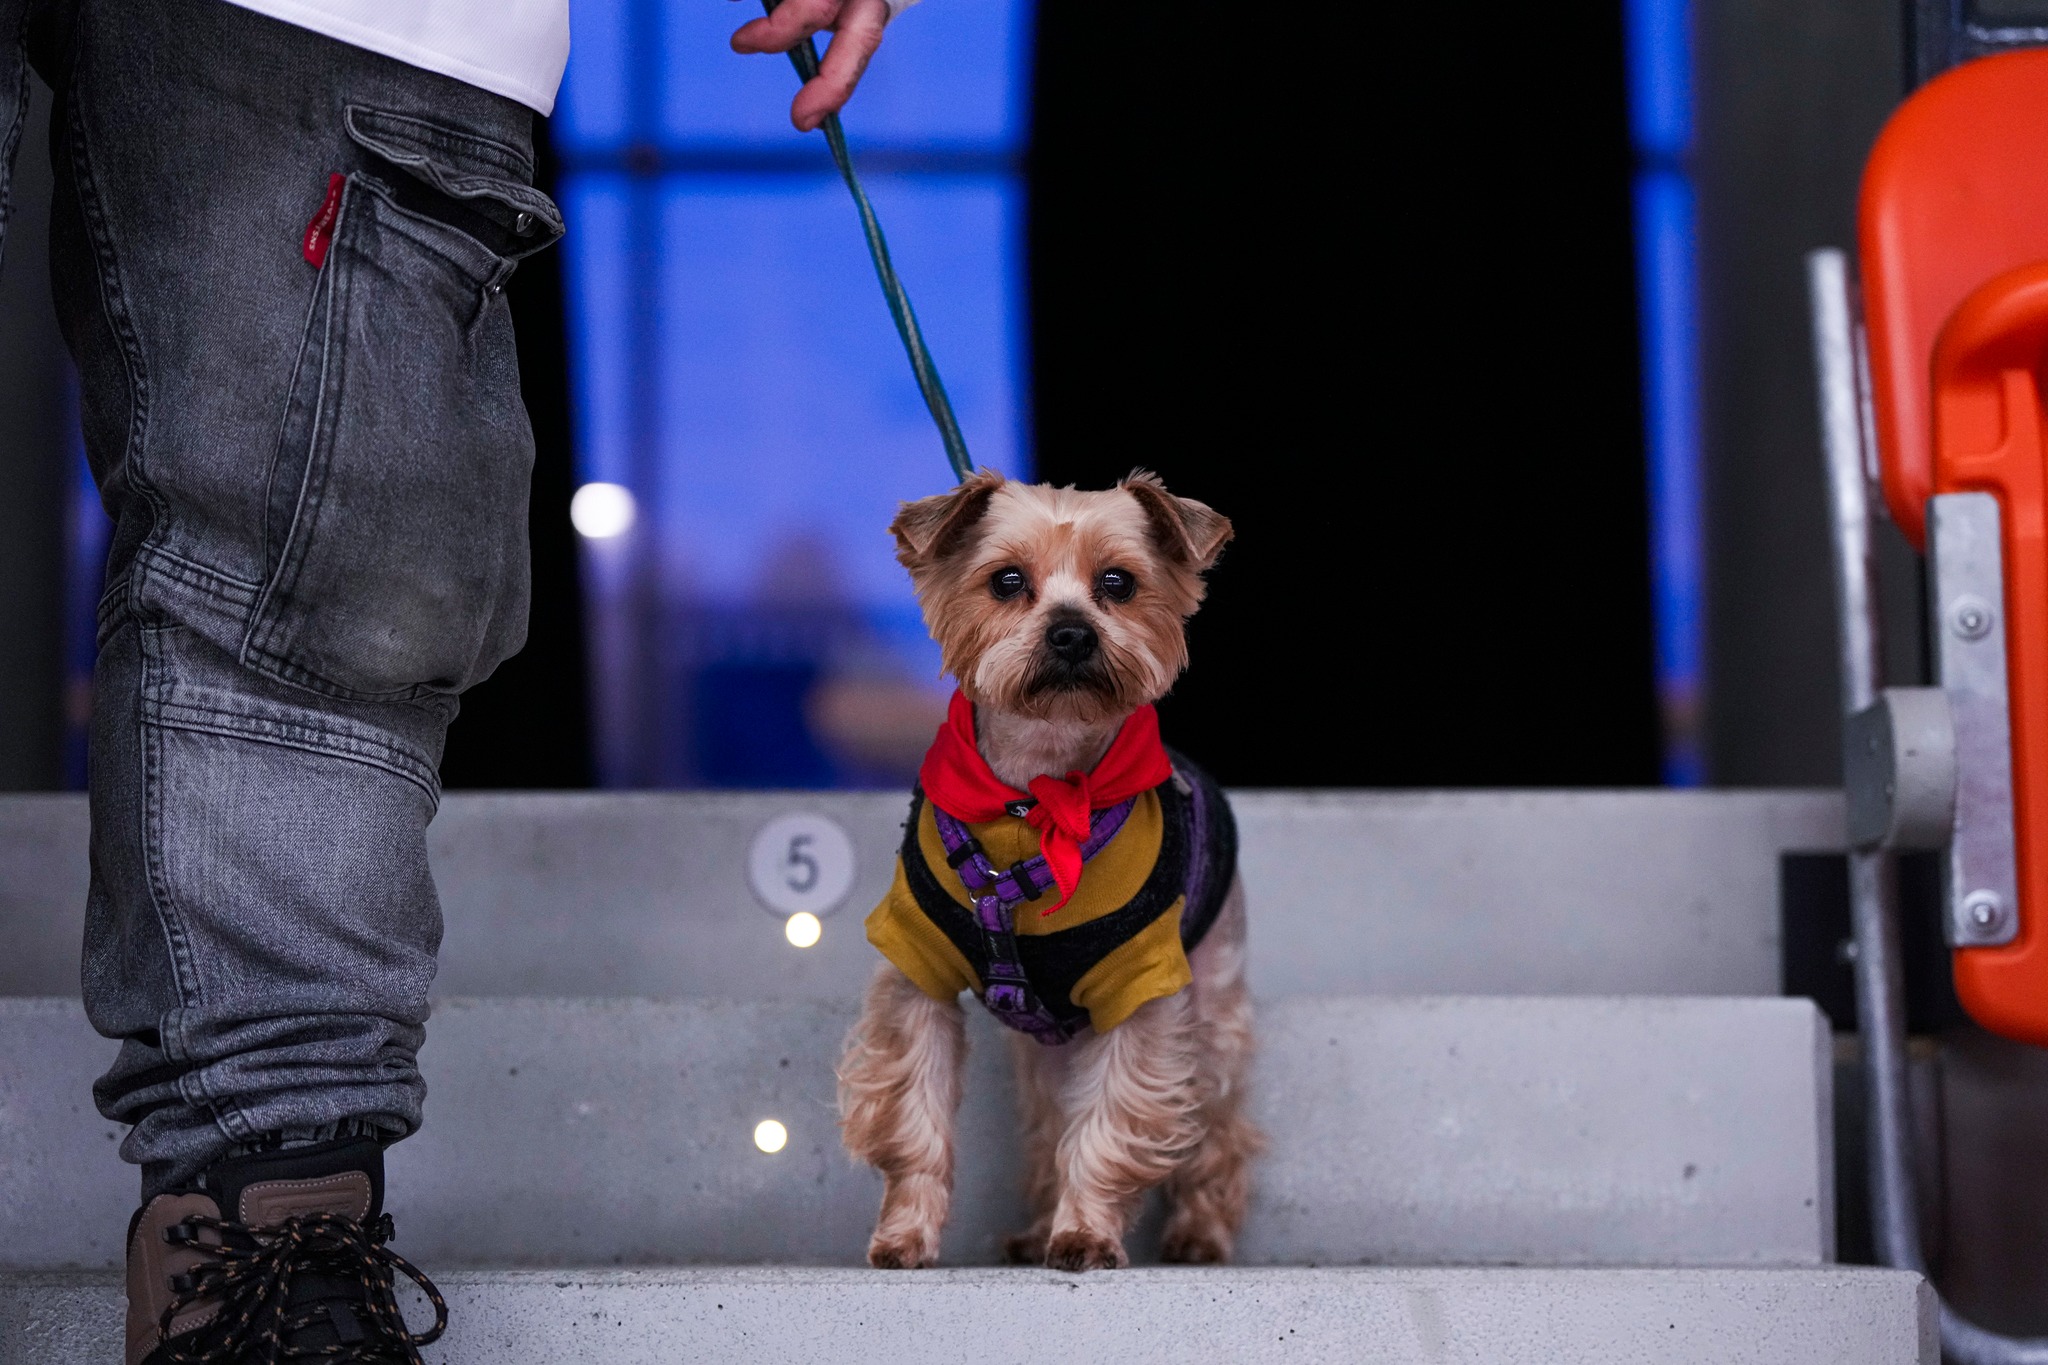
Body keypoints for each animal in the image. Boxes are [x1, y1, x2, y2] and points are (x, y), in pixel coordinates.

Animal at [837, 468, 1260, 1272]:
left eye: (1119, 583)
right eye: (1006, 581)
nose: (1071, 631)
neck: (1036, 796)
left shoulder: (1141, 985)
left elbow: (1112, 1119)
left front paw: (1087, 1232)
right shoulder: (915, 968)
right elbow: (912, 1114)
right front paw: (904, 1236)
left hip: (1213, 1003)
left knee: (1220, 1123)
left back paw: (1201, 1231)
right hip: (1043, 1052)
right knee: (1045, 1121)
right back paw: (1035, 1227)